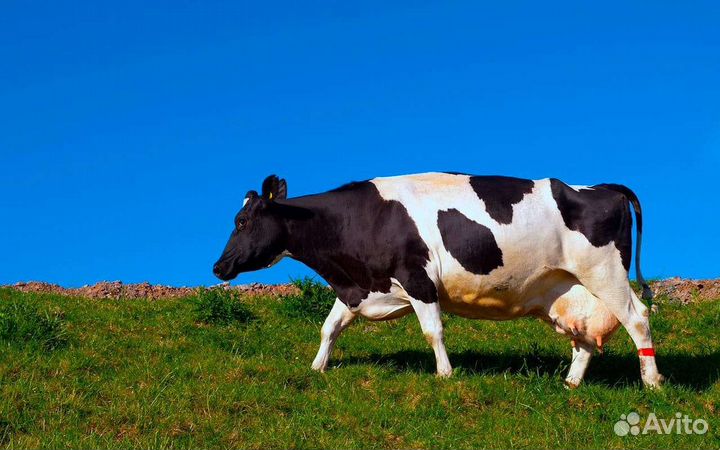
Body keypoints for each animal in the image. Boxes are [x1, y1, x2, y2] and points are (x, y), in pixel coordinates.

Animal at [213, 173, 664, 388]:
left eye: (242, 221)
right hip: (567, 288)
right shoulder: (360, 286)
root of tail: (602, 187)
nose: (218, 267)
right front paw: (316, 367)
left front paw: (445, 375)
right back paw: (570, 384)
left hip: (605, 272)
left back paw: (652, 382)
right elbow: (330, 327)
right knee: (585, 336)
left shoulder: (417, 278)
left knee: (637, 317)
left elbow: (433, 330)